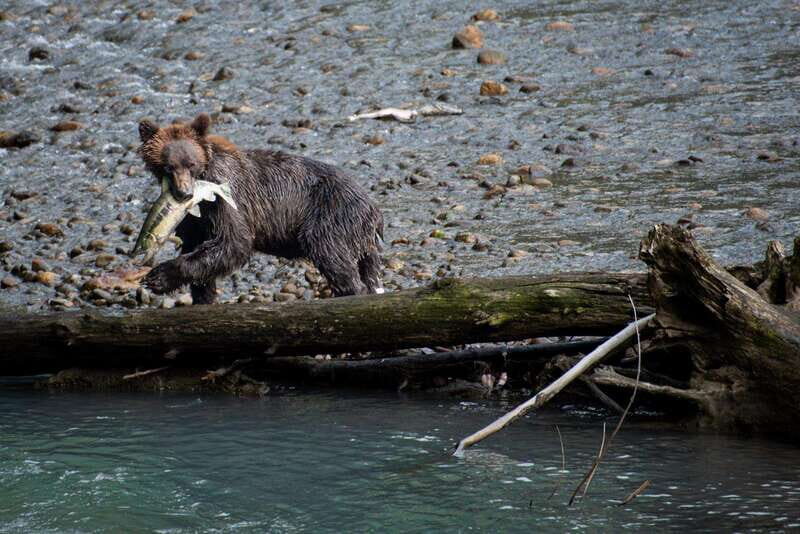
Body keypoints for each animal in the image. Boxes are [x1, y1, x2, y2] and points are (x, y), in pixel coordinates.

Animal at [136, 113, 384, 304]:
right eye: (168, 166)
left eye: (191, 163)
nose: (184, 193)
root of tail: (373, 208)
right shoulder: (196, 216)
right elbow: (197, 248)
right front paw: (202, 297)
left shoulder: (228, 197)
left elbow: (233, 241)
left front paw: (158, 277)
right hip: (360, 238)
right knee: (366, 270)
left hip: (332, 214)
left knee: (331, 253)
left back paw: (351, 292)